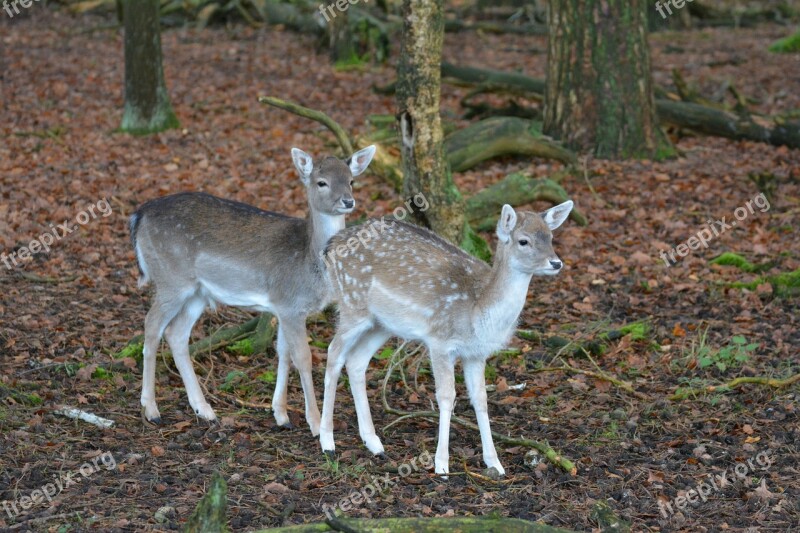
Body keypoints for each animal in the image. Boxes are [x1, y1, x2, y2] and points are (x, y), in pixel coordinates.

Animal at [131, 144, 378, 432]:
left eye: (351, 180)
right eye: (322, 182)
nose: (348, 201)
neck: (310, 262)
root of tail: (138, 215)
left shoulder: (282, 306)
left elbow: (283, 352)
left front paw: (281, 414)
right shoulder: (290, 305)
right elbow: (303, 357)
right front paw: (315, 424)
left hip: (198, 293)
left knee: (176, 334)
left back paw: (204, 409)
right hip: (171, 279)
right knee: (151, 325)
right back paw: (151, 409)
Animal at [318, 201, 576, 474]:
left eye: (550, 237)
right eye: (523, 241)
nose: (556, 263)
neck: (477, 312)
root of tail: (331, 246)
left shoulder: (476, 353)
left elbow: (481, 399)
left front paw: (494, 462)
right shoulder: (440, 342)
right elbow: (446, 396)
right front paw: (441, 464)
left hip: (381, 324)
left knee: (356, 361)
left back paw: (373, 442)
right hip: (352, 305)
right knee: (334, 352)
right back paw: (327, 440)